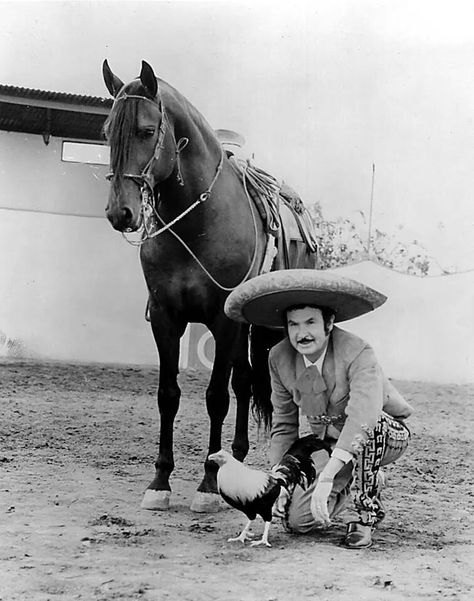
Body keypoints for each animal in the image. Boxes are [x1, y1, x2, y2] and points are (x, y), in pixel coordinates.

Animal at [102, 59, 316, 510]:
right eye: (107, 130)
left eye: (147, 130)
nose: (120, 212)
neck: (199, 222)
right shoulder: (165, 318)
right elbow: (168, 395)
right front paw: (160, 482)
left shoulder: (224, 321)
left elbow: (216, 397)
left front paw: (206, 485)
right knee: (244, 381)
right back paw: (235, 455)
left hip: (269, 328)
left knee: (251, 386)